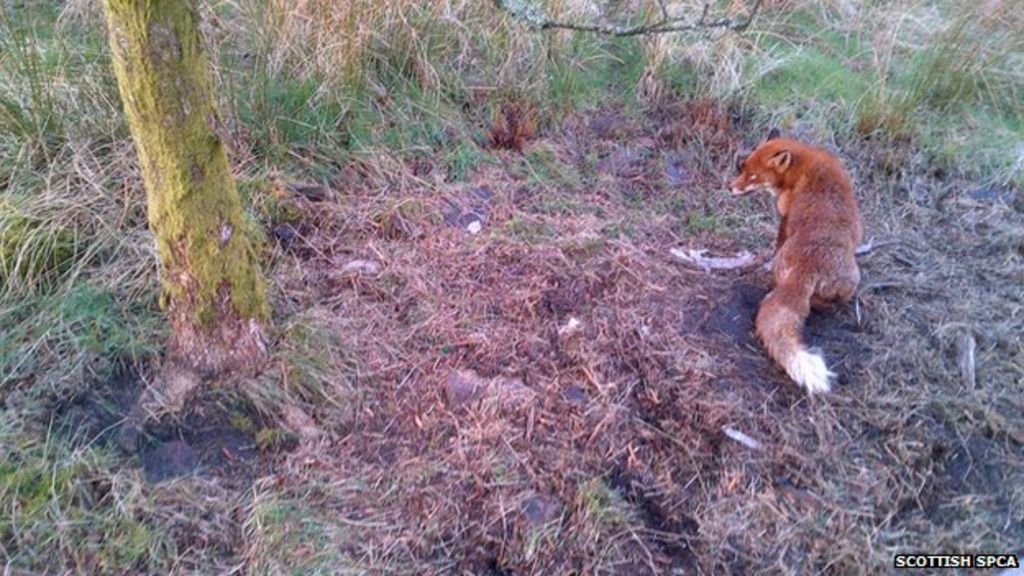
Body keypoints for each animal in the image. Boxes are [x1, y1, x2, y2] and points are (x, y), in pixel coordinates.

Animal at [730, 130, 863, 394]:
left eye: (753, 176)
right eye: (743, 167)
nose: (730, 188)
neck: (804, 163)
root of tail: (806, 269)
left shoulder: (785, 215)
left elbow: (778, 239)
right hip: (853, 278)